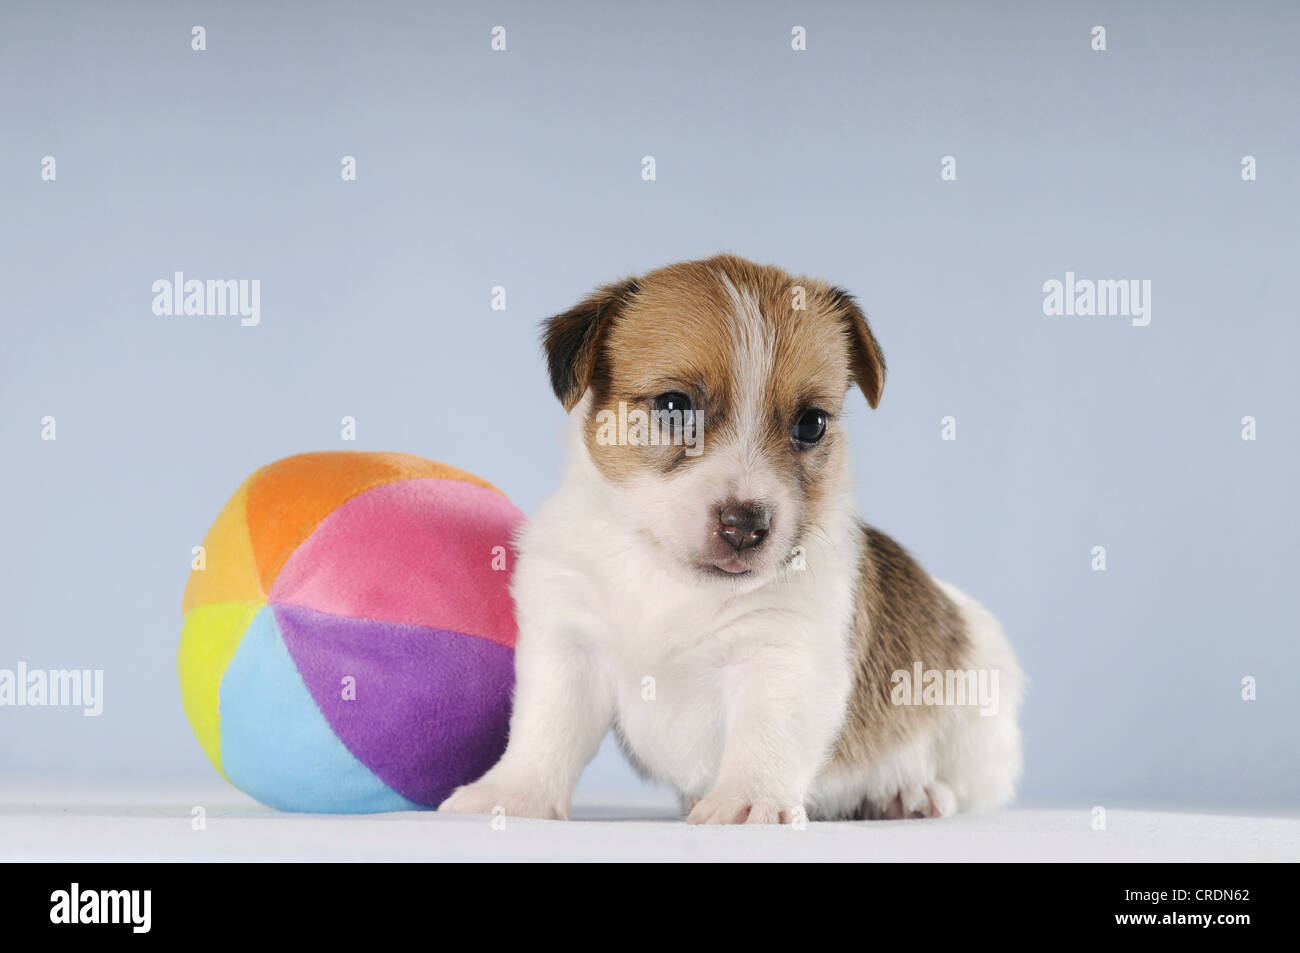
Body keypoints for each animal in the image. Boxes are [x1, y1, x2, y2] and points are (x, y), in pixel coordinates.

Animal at [441, 256, 1019, 821]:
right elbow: (546, 729)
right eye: (674, 407)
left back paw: (909, 793)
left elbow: (765, 737)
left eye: (811, 424)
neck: (668, 578)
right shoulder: (569, 643)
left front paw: (748, 799)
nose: (746, 525)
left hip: (976, 719)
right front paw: (514, 794)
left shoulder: (783, 654)